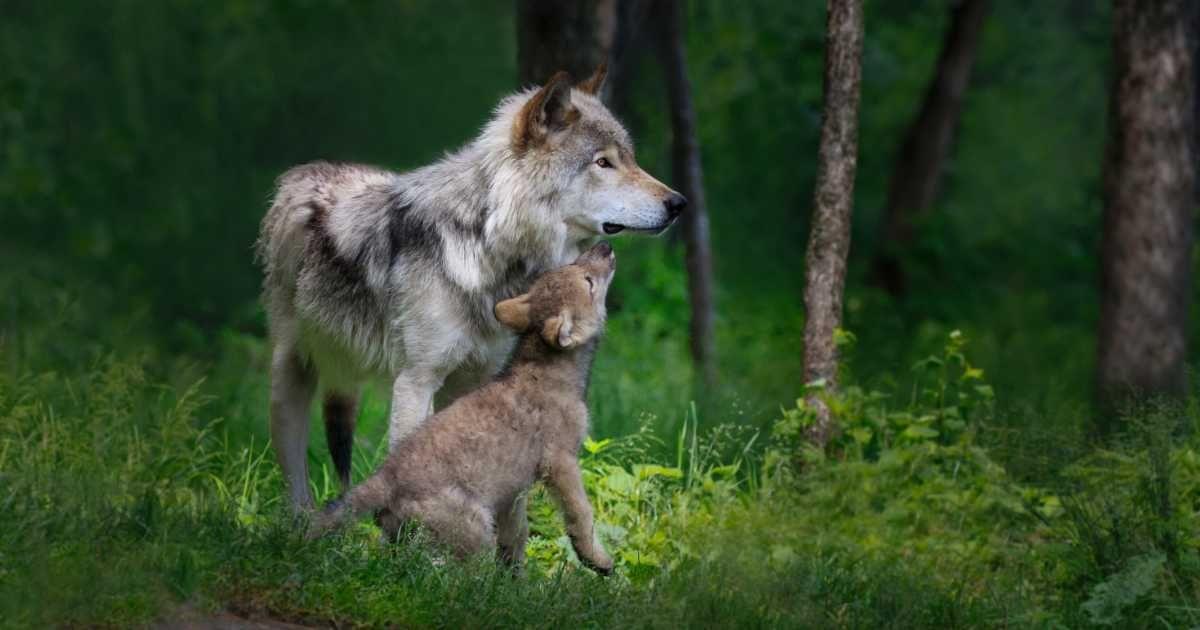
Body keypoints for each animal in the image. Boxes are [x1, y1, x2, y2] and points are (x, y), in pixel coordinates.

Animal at [257, 65, 684, 513]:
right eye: (603, 163)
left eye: (630, 159)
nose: (679, 203)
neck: (486, 244)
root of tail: (303, 173)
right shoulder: (416, 382)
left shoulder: (477, 380)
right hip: (290, 378)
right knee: (295, 476)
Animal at [309, 242, 618, 575]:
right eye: (588, 282)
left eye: (574, 265)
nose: (605, 247)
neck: (547, 368)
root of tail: (386, 476)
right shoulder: (560, 462)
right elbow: (581, 515)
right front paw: (598, 560)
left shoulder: (513, 491)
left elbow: (516, 534)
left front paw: (514, 579)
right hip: (475, 528)